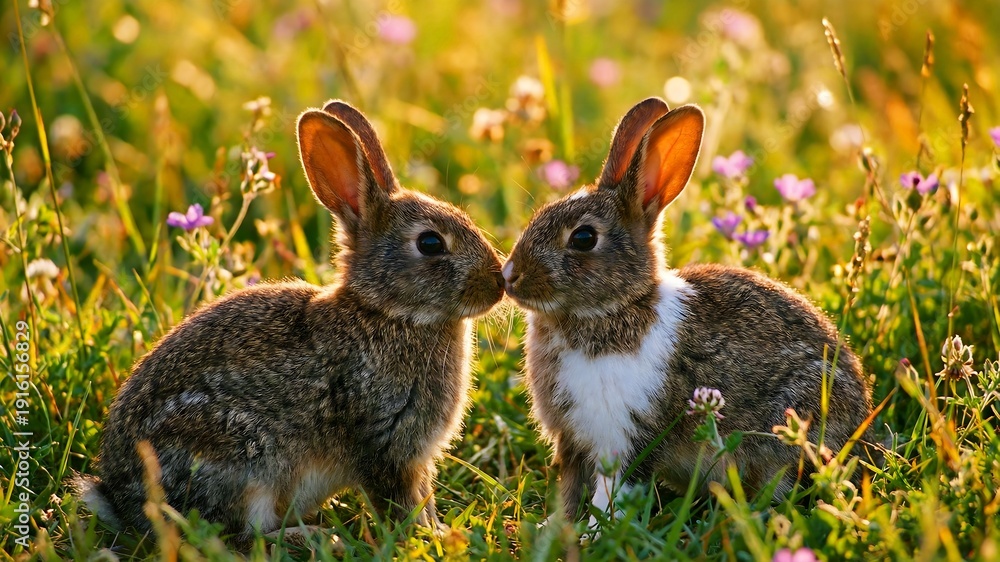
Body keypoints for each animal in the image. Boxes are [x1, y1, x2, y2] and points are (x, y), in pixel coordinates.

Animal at [69, 100, 506, 545]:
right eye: (430, 243)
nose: (498, 284)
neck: (386, 312)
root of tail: (122, 501)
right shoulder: (385, 441)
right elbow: (399, 500)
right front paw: (427, 538)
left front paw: (441, 531)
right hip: (240, 459)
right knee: (241, 535)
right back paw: (314, 536)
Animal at [501, 97, 877, 524]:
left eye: (583, 238)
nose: (509, 276)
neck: (615, 309)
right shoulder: (572, 441)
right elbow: (570, 490)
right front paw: (551, 527)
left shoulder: (627, 433)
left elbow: (612, 491)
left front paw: (593, 531)